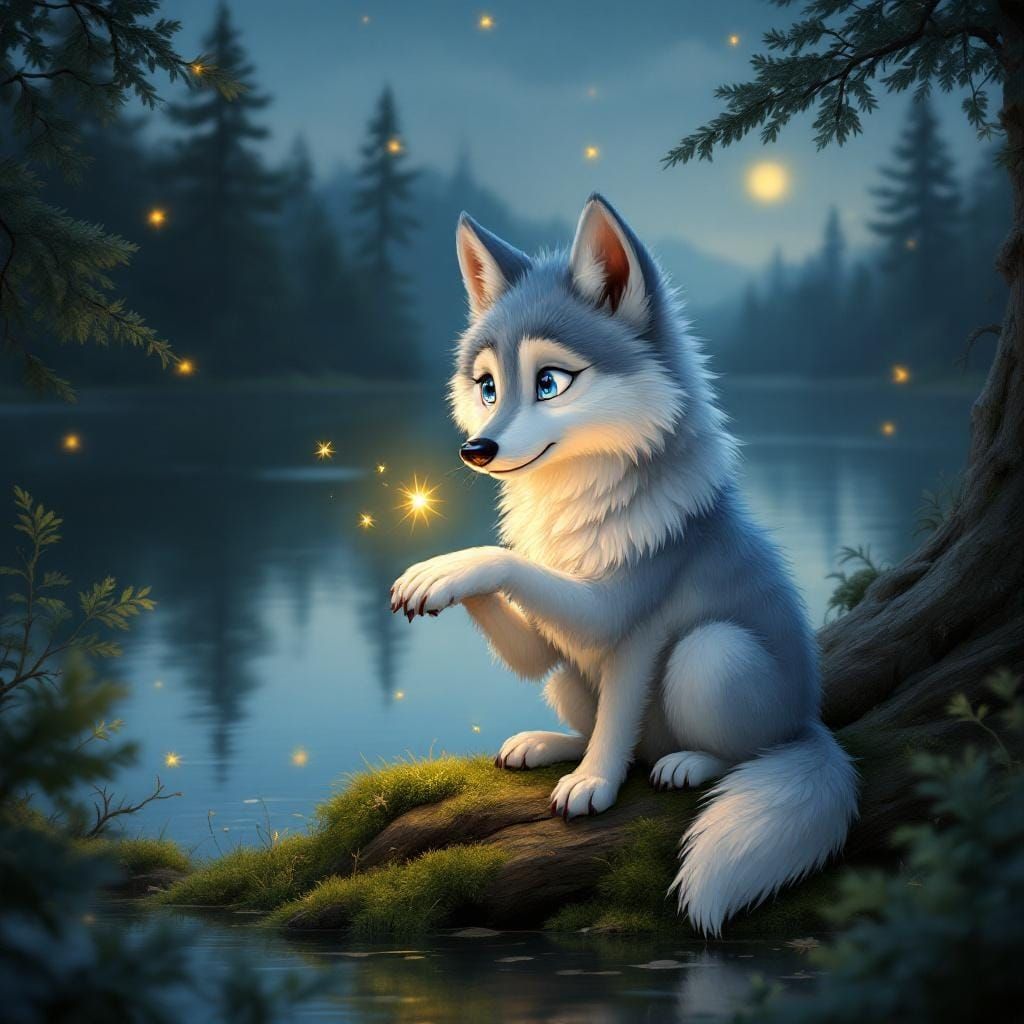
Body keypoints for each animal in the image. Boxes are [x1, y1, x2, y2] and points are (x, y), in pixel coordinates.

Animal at [390, 194, 858, 935]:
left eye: (550, 382)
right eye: (488, 387)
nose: (476, 450)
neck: (576, 503)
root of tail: (812, 722)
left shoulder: (625, 625)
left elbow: (612, 713)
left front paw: (593, 785)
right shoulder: (553, 637)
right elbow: (530, 630)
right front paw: (432, 574)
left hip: (712, 655)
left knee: (733, 747)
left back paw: (689, 763)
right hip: (569, 680)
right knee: (596, 718)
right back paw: (548, 744)